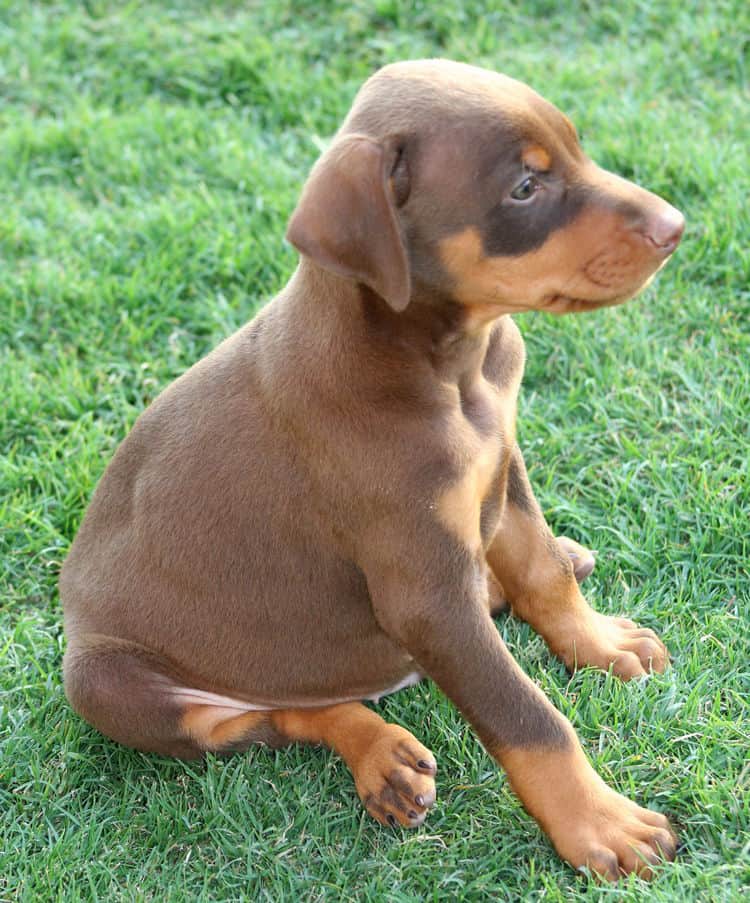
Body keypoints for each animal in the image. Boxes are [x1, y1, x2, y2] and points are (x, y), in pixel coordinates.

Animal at [61, 61, 688, 884]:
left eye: (576, 147)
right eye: (524, 188)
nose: (676, 227)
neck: (450, 366)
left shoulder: (503, 458)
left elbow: (541, 568)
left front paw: (598, 644)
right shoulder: (424, 591)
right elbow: (527, 714)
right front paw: (601, 824)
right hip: (114, 684)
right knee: (278, 711)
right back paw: (380, 754)